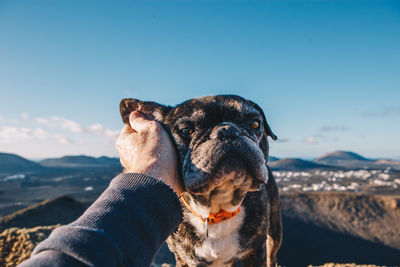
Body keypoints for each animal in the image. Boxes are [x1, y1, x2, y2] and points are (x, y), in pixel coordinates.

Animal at [120, 95, 282, 266]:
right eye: (186, 130)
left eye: (255, 123)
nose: (227, 130)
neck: (217, 210)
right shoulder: (185, 259)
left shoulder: (255, 252)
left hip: (275, 232)